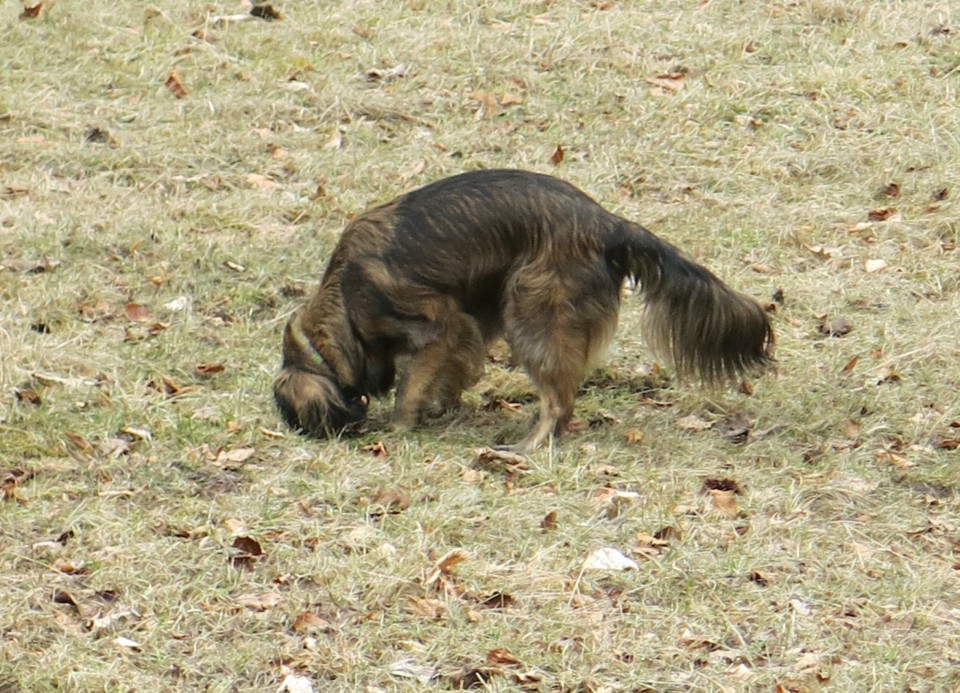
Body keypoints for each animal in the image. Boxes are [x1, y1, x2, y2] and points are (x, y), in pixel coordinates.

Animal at [270, 168, 772, 448]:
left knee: (559, 404)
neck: (344, 295)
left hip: (531, 316)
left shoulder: (443, 323)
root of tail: (607, 224)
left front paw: (400, 427)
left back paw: (528, 445)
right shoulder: (470, 328)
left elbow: (410, 388)